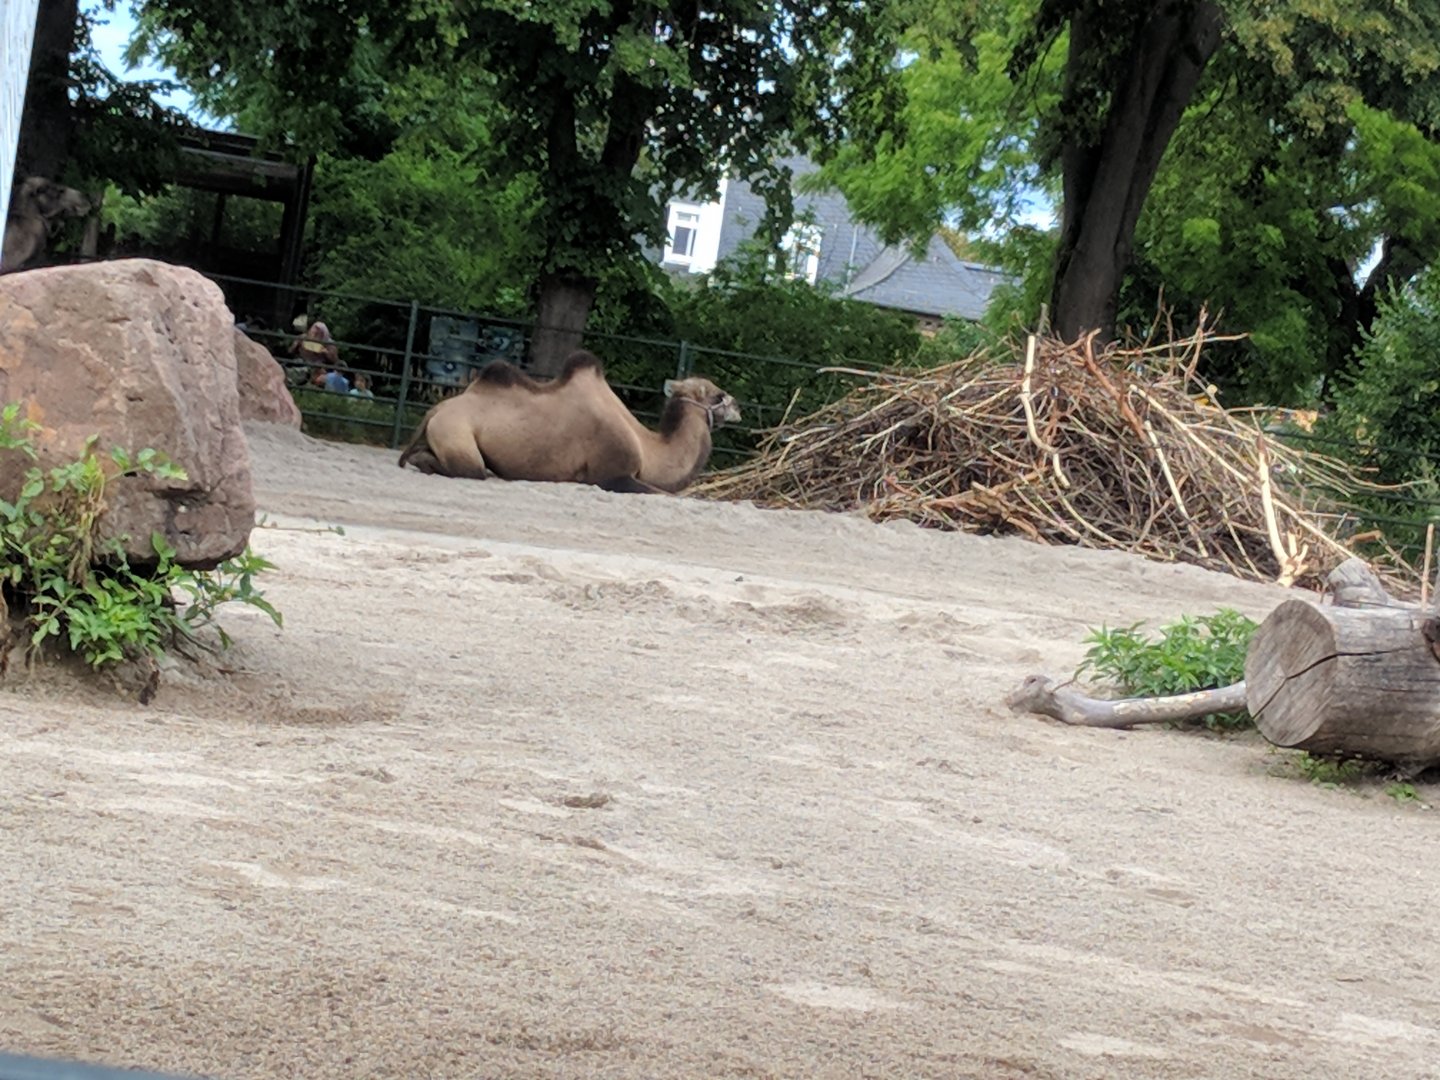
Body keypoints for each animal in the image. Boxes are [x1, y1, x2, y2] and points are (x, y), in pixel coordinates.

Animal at [398, 350, 741, 493]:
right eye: (718, 393)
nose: (738, 406)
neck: (648, 448)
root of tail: (435, 410)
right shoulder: (613, 474)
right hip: (456, 433)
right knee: (471, 469)